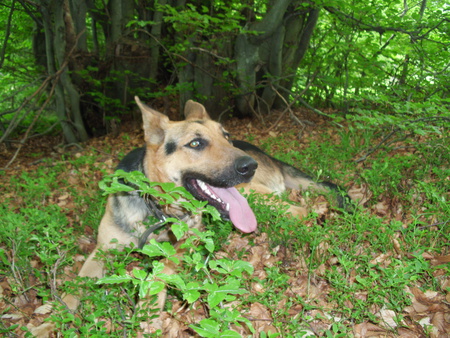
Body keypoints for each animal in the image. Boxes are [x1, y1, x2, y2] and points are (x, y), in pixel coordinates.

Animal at [60, 96, 348, 318]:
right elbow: (75, 285)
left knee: (300, 211)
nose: (250, 166)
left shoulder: (190, 239)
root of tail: (265, 154)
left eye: (226, 136)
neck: (157, 210)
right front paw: (58, 315)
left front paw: (149, 302)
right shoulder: (103, 249)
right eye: (195, 143)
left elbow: (163, 265)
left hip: (255, 194)